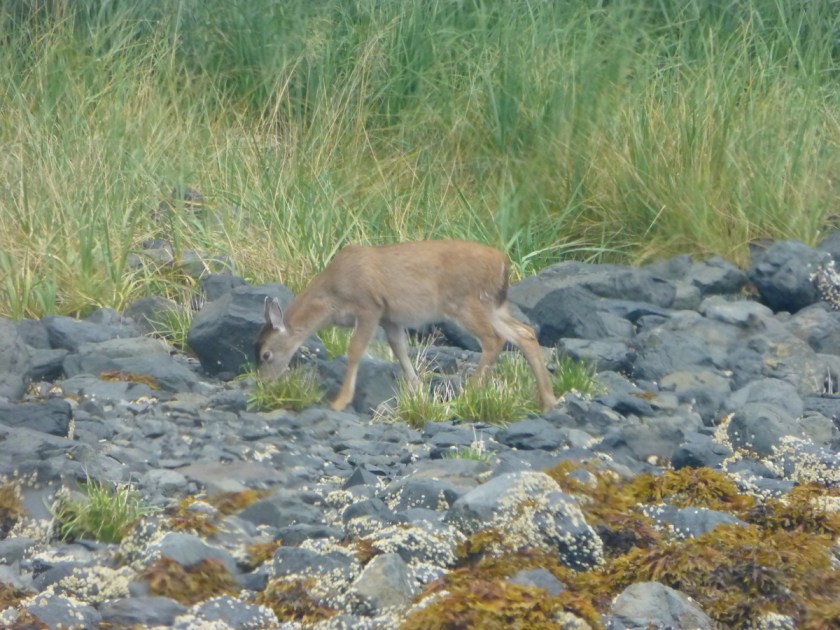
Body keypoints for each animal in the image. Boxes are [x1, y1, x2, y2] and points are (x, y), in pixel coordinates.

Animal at [255, 240, 557, 413]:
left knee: (493, 339)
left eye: (265, 354)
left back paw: (467, 396)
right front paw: (418, 392)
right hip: (493, 305)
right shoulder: (391, 318)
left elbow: (355, 351)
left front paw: (340, 402)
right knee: (525, 333)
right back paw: (548, 399)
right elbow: (399, 350)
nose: (264, 385)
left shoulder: (370, 306)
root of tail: (504, 264)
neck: (332, 297)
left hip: (464, 302)